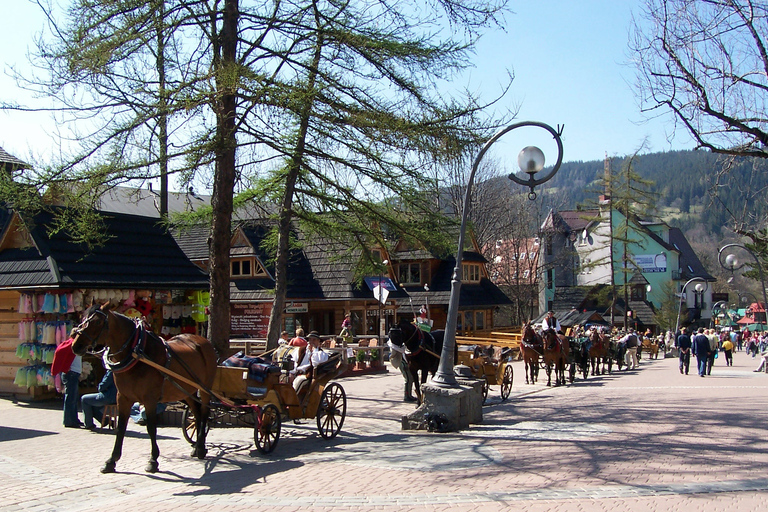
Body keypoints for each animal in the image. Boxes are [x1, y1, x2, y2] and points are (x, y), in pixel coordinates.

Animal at [72, 302, 218, 474]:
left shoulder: (150, 400)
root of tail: (202, 341)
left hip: (204, 389)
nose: (76, 345)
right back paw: (197, 447)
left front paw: (153, 460)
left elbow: (151, 428)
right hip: (186, 391)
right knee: (197, 414)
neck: (137, 354)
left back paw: (201, 448)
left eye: (97, 322)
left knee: (204, 412)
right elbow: (121, 427)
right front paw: (111, 461)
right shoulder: (123, 397)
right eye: (82, 319)